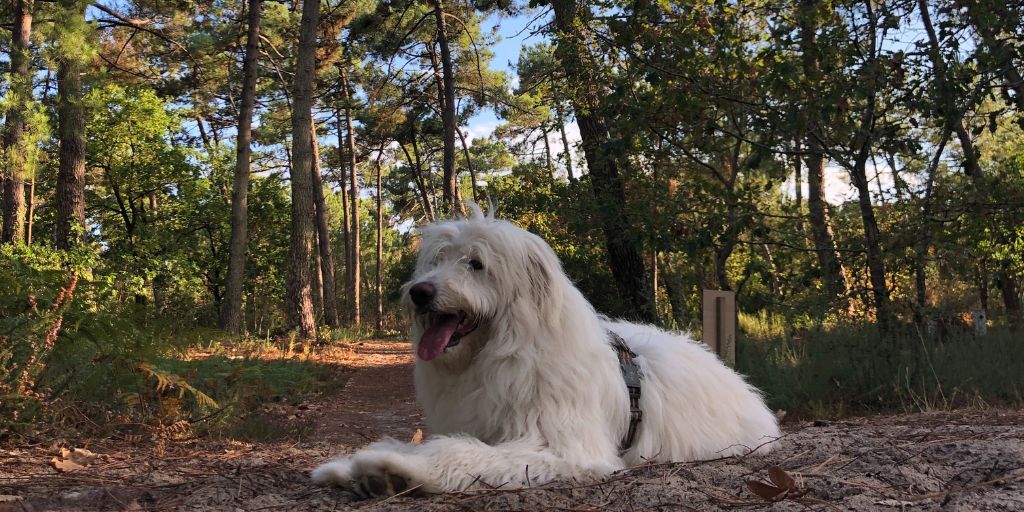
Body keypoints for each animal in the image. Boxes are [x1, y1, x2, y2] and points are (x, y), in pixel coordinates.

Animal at [307, 207, 778, 495]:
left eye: (476, 264)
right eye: (435, 262)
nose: (420, 293)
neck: (499, 352)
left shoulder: (559, 447)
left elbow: (460, 452)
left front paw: (394, 470)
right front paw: (346, 466)